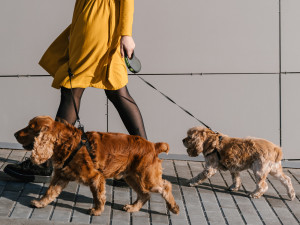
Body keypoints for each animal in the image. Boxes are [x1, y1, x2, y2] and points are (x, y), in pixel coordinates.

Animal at [14, 116, 178, 216]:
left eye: (30, 128)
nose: (15, 134)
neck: (67, 143)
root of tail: (153, 146)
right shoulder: (61, 175)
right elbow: (49, 191)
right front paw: (40, 203)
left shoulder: (96, 176)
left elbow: (98, 195)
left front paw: (97, 210)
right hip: (131, 177)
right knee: (144, 194)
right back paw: (133, 207)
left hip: (147, 177)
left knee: (166, 186)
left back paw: (174, 207)